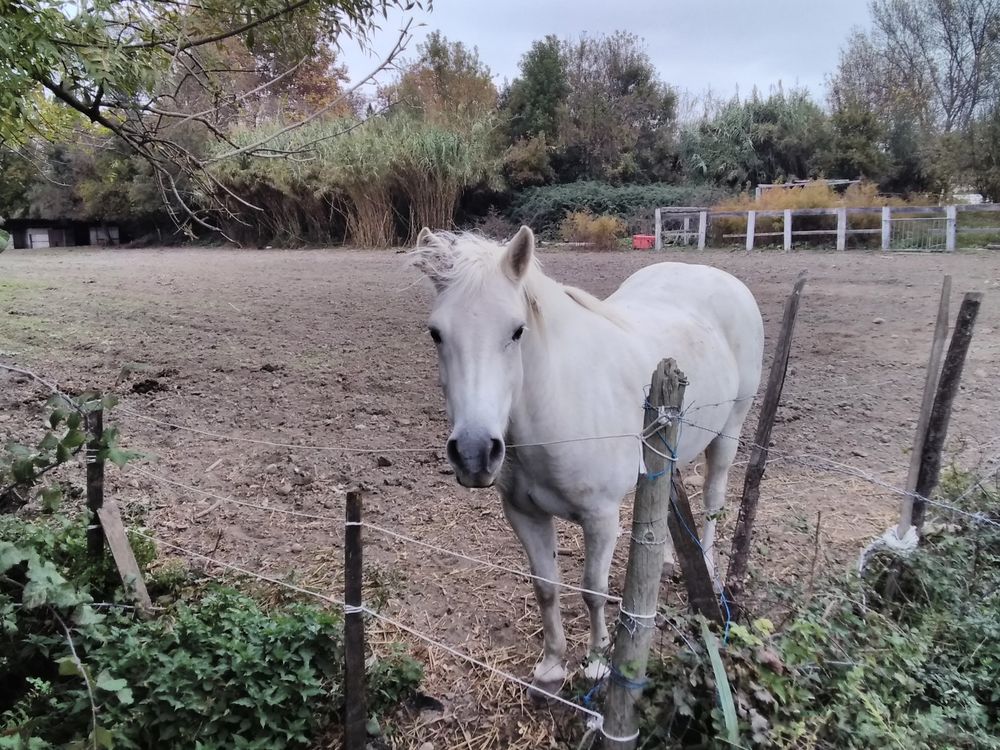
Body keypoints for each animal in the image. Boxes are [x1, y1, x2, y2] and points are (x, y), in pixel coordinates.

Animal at [410, 225, 760, 692]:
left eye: (517, 331)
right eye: (436, 333)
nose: (474, 452)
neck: (557, 405)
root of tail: (714, 275)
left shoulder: (600, 517)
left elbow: (592, 589)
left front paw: (596, 662)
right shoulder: (524, 514)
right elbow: (546, 586)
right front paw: (552, 665)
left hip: (728, 432)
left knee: (713, 501)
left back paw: (706, 566)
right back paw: (668, 560)